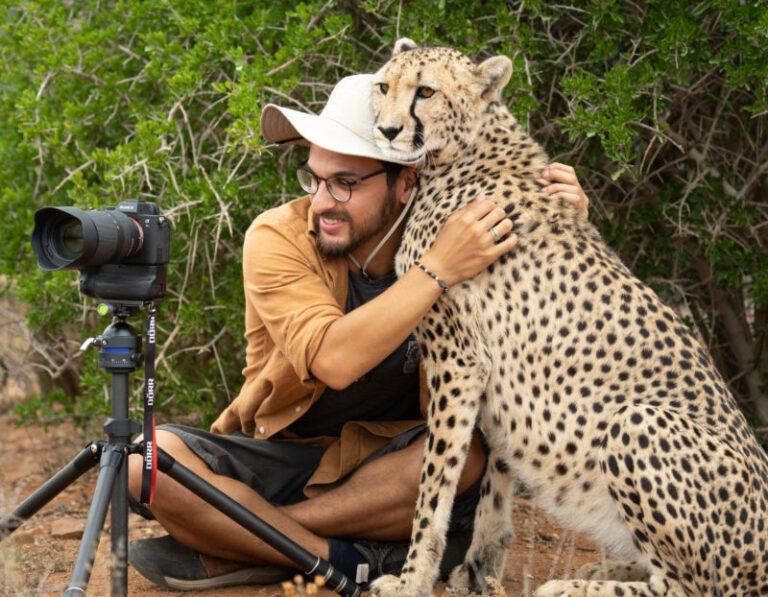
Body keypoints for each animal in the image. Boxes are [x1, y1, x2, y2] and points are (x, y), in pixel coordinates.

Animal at [366, 39, 768, 592]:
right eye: (383, 86)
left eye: (425, 92)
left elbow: (435, 484)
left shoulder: (458, 357)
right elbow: (496, 477)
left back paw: (574, 585)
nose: (386, 131)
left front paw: (411, 580)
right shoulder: (494, 376)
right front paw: (479, 568)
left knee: (687, 587)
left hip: (635, 421)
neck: (467, 149)